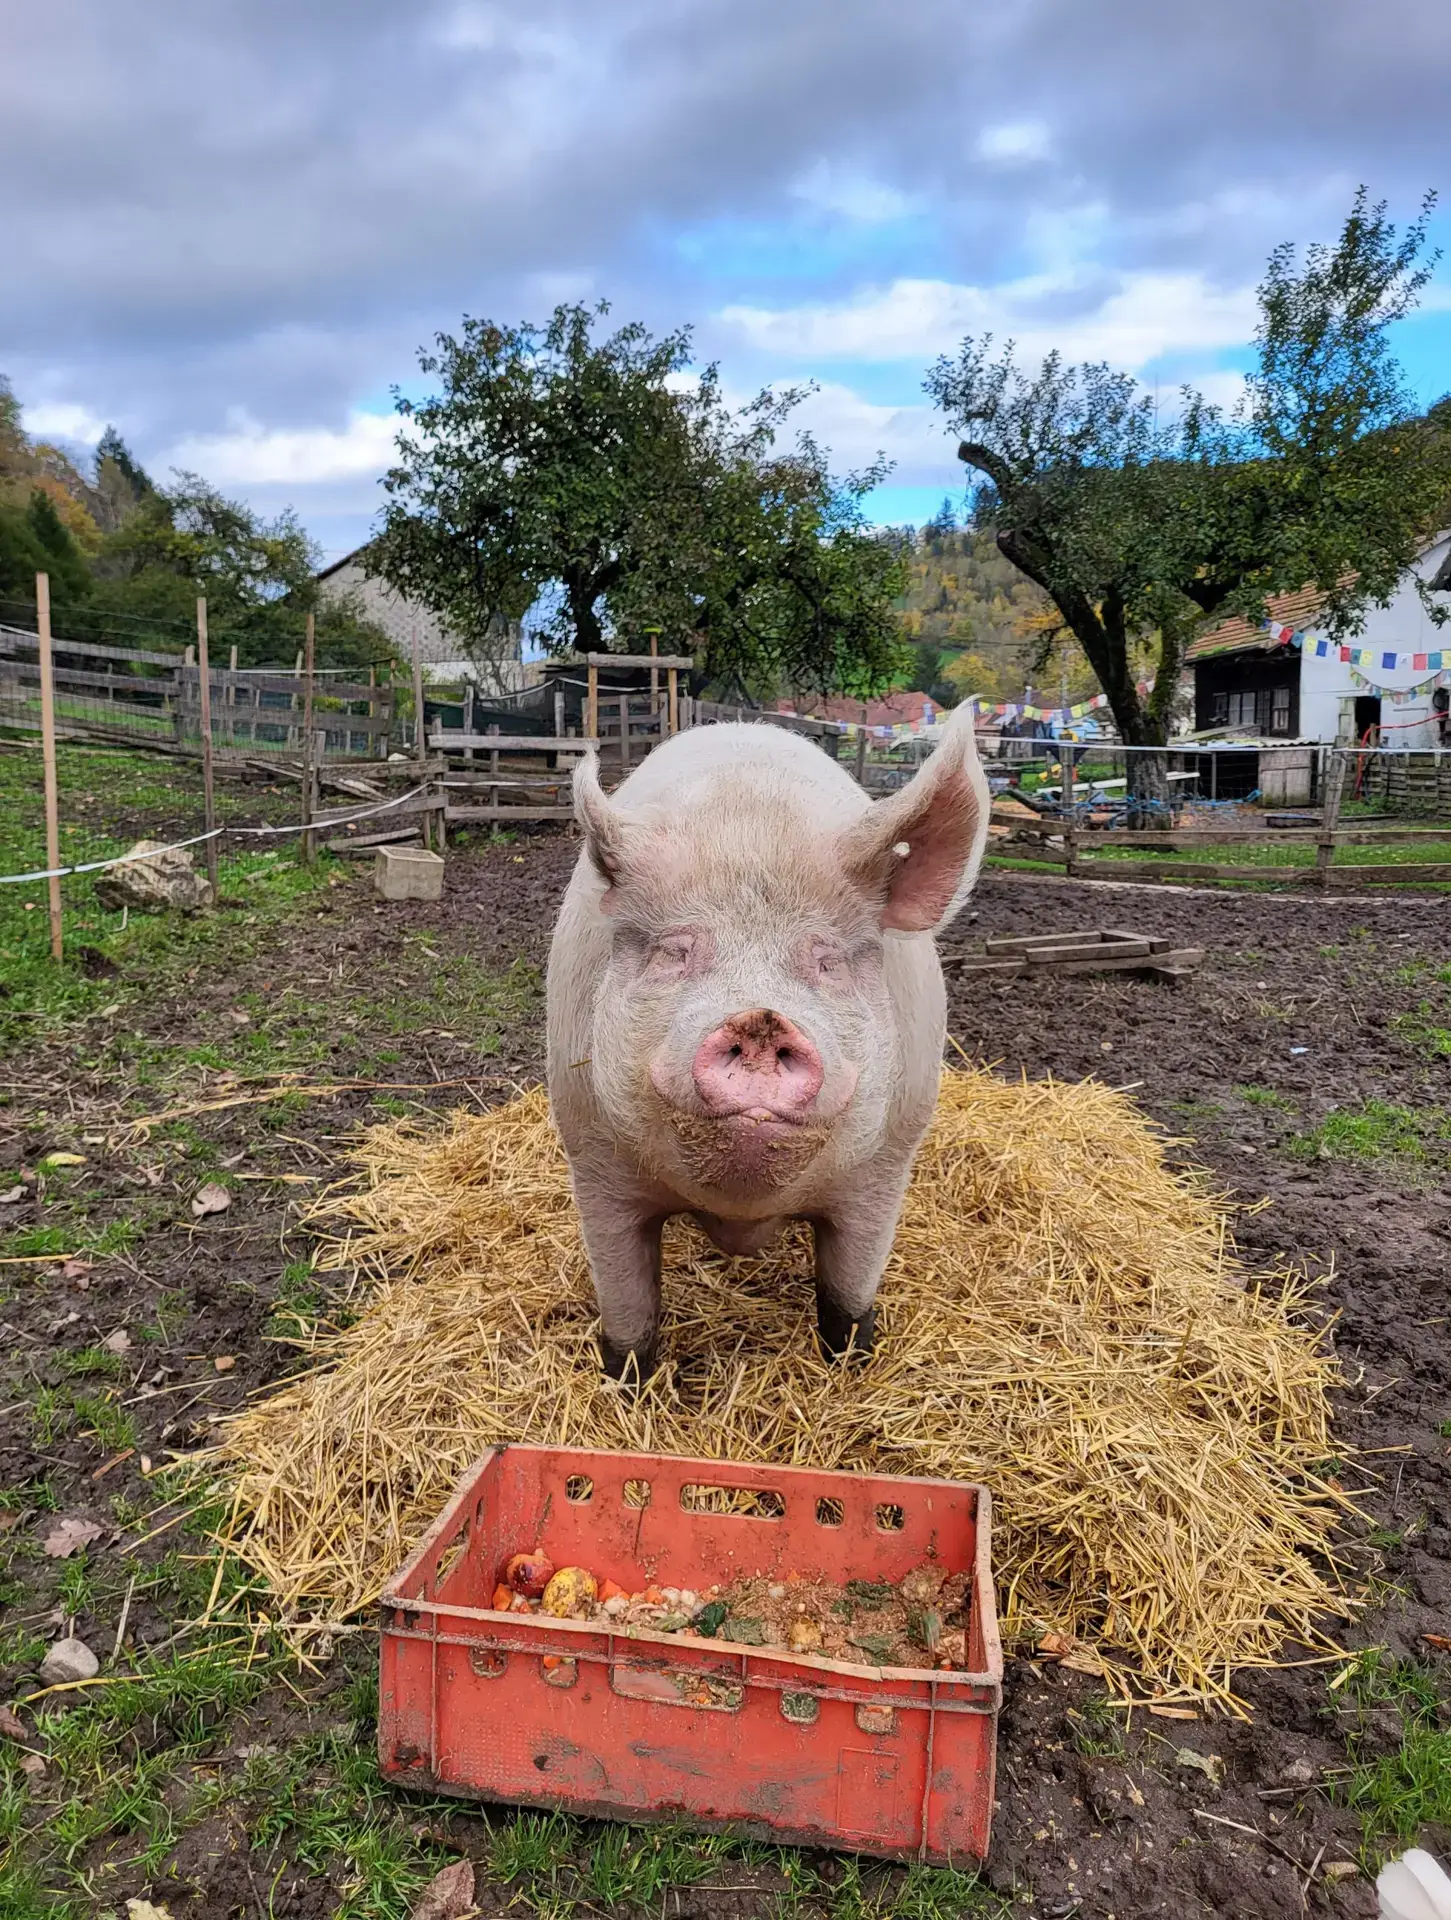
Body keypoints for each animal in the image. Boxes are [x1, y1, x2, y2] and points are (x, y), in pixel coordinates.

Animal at [548, 710, 990, 1382]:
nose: (760, 1020)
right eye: (674, 952)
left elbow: (847, 1301)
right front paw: (630, 1385)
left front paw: (847, 1373)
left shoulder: (887, 1162)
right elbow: (628, 1315)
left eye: (828, 961)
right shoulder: (595, 1160)